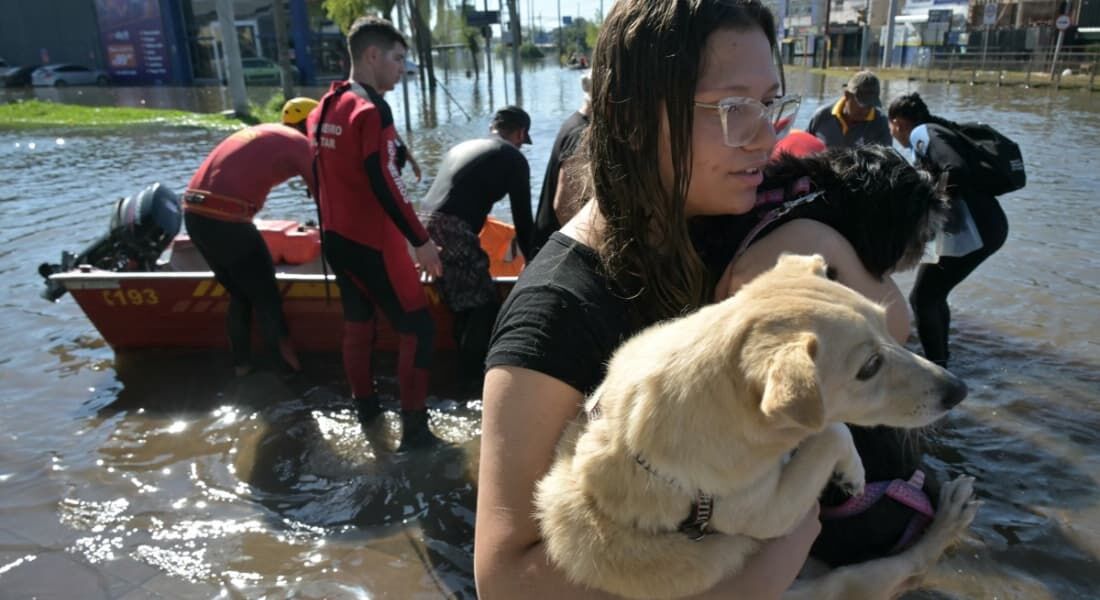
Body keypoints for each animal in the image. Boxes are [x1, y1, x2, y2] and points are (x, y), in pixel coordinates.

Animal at [536, 253, 976, 598]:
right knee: (909, 564)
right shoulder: (769, 512)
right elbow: (832, 431)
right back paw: (951, 514)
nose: (959, 390)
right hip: (831, 586)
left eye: (888, 326)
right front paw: (852, 470)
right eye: (869, 367)